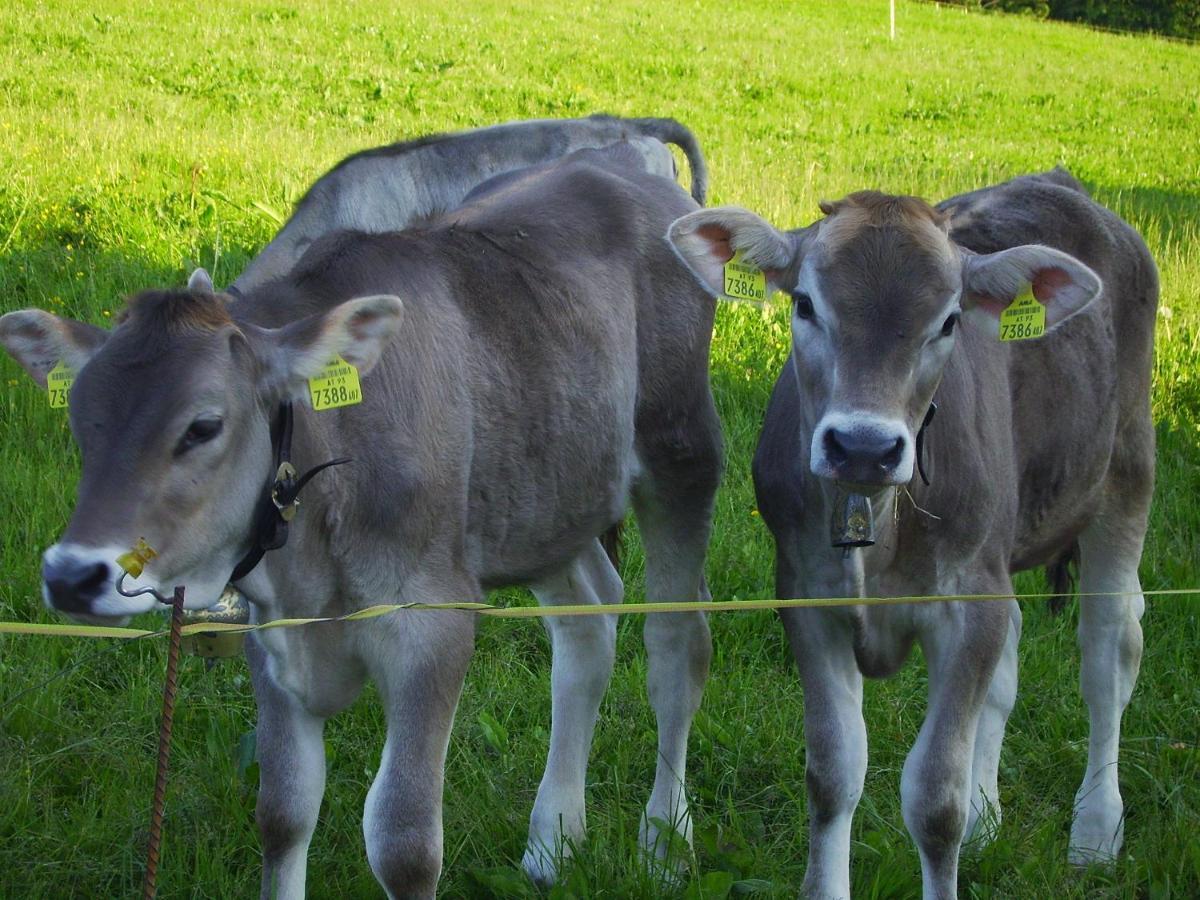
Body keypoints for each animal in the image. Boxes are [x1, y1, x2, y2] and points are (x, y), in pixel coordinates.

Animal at [2, 144, 720, 897]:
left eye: (202, 426)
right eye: (80, 421)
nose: (72, 575)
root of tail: (619, 167)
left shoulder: (431, 623)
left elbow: (403, 842)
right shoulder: (272, 629)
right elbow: (283, 811)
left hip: (681, 450)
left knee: (678, 643)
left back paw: (665, 843)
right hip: (546, 495)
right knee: (587, 626)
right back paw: (553, 842)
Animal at [672, 170, 1156, 900]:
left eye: (949, 321)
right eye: (806, 304)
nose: (863, 447)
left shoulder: (966, 605)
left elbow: (934, 799)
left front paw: (961, 819)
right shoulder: (810, 598)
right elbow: (833, 773)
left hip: (1126, 472)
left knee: (1110, 654)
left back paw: (1096, 832)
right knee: (1011, 658)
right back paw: (989, 820)